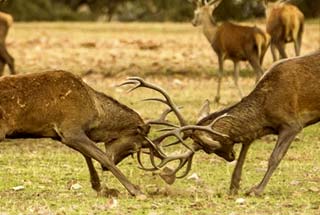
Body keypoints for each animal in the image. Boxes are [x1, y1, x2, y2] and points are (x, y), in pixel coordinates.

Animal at [124, 51, 320, 196]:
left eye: (209, 148)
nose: (230, 156)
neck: (265, 110)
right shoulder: (257, 131)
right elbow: (243, 153)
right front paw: (234, 187)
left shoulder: (292, 124)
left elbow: (274, 157)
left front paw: (256, 190)